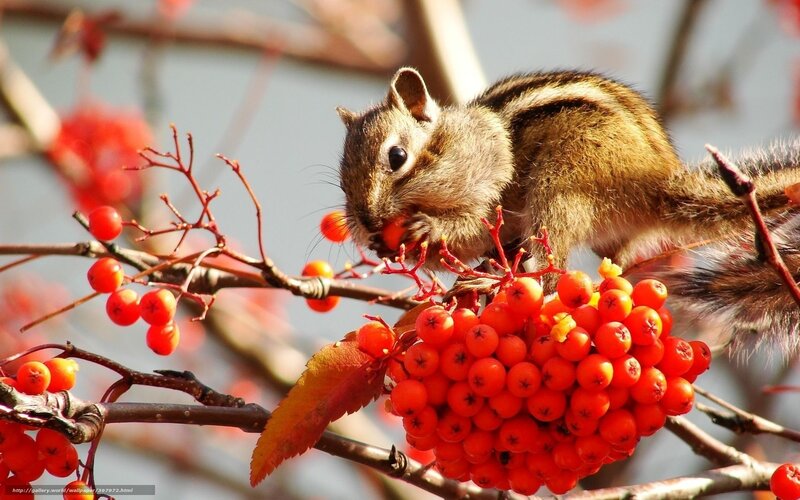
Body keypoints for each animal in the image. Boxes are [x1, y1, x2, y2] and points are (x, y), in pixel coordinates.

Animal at [336, 67, 800, 353]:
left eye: (396, 156)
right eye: (341, 176)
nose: (369, 221)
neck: (449, 141)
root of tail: (658, 185)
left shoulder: (490, 179)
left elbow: (474, 226)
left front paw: (429, 228)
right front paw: (387, 245)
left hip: (562, 186)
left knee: (553, 275)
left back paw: (494, 282)